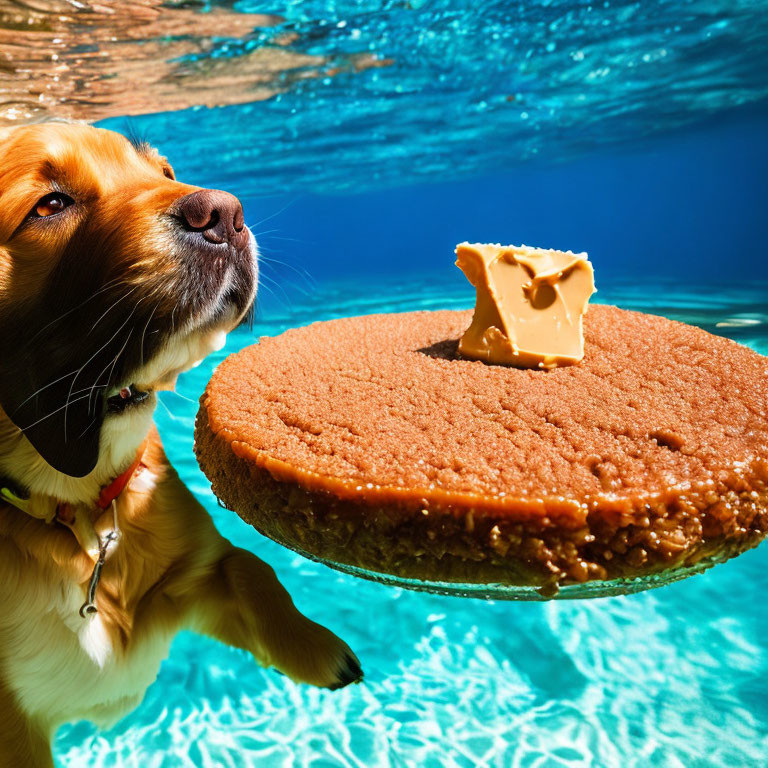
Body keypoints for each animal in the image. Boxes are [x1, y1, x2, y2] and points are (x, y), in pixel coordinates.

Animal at [0, 123, 364, 764]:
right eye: (49, 205)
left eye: (163, 174)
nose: (226, 212)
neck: (78, 512)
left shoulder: (195, 572)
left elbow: (251, 568)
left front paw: (315, 648)